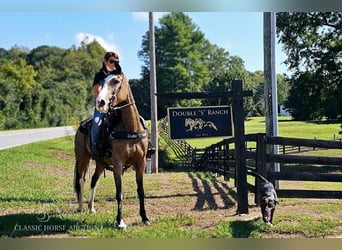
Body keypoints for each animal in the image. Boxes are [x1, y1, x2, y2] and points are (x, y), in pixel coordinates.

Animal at [73, 73, 150, 229]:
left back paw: (91, 207)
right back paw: (81, 207)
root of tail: (82, 124)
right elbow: (119, 193)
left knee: (93, 180)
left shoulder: (141, 163)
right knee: (81, 180)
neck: (130, 129)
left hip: (100, 163)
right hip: (83, 158)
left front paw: (144, 218)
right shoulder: (118, 164)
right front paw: (120, 222)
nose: (100, 102)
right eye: (102, 82)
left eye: (116, 81)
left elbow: (140, 191)